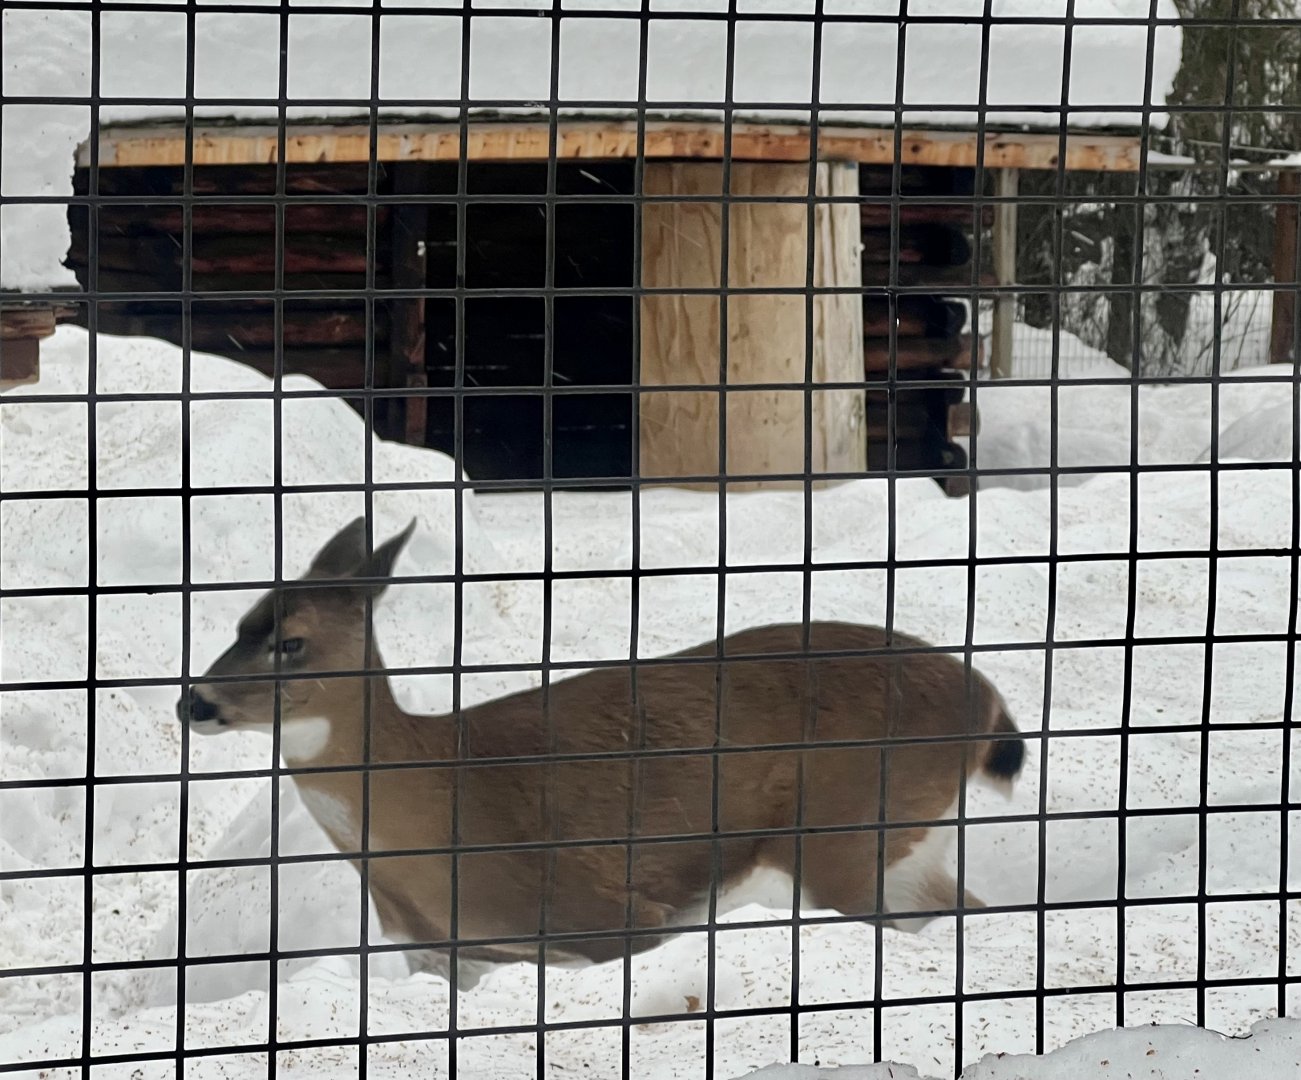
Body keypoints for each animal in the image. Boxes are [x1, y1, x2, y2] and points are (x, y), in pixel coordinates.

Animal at [178, 517, 1024, 990]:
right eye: (242, 622)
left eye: (291, 642)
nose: (195, 702)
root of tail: (984, 701)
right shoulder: (445, 951)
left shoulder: (608, 910)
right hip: (897, 841)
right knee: (971, 908)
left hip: (846, 831)